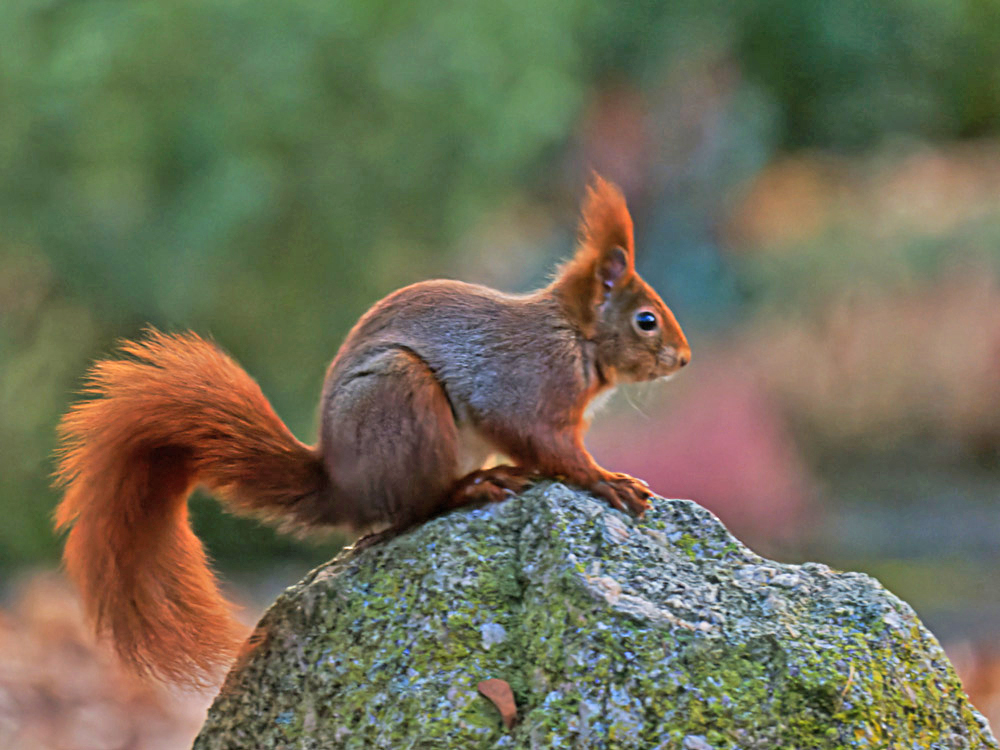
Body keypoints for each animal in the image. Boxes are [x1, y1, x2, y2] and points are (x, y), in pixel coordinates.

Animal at [52, 176, 688, 688]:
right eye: (646, 320)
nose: (683, 360)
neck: (575, 337)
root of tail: (342, 484)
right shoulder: (523, 389)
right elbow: (551, 447)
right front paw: (609, 481)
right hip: (403, 398)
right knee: (413, 508)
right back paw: (473, 488)